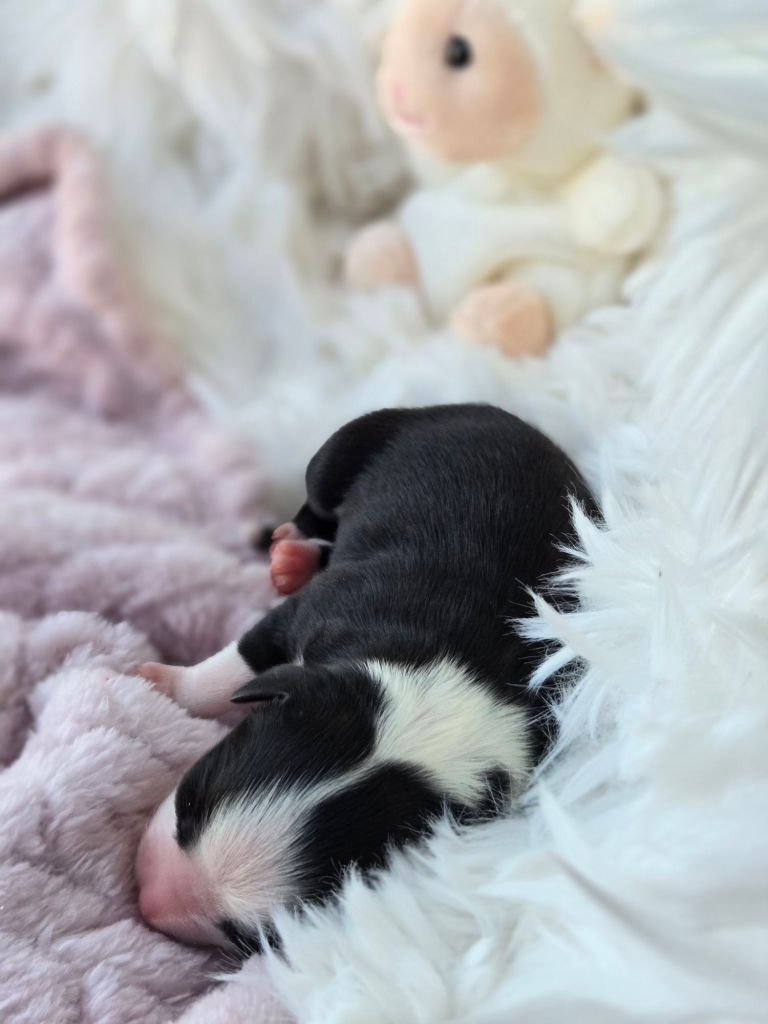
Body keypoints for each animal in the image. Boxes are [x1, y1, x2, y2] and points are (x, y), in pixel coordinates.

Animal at [135, 403, 596, 953]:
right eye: (187, 802)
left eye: (251, 937)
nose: (143, 897)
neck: (426, 719)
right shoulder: (311, 613)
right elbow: (237, 661)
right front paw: (159, 682)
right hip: (351, 446)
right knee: (313, 505)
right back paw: (290, 554)